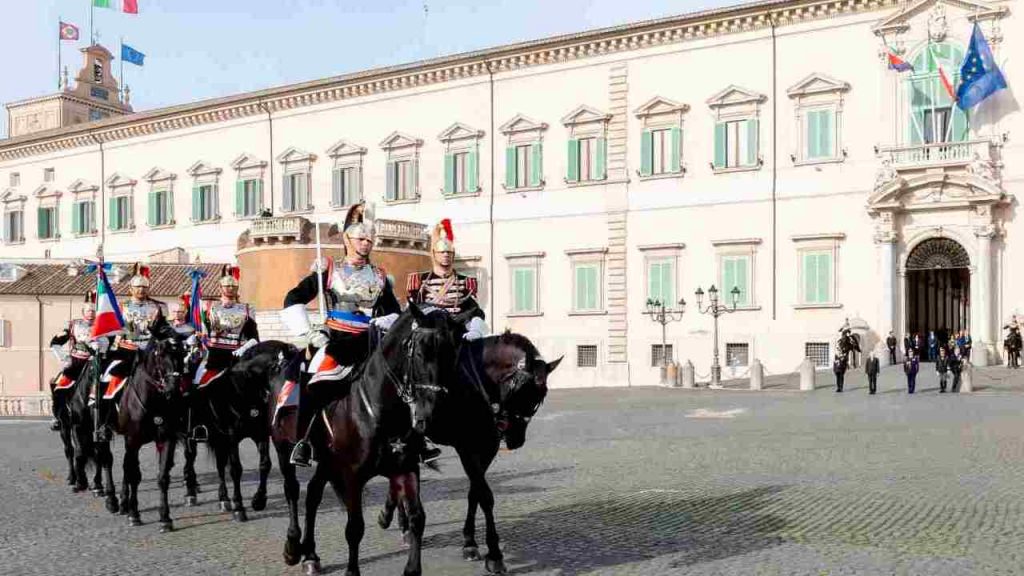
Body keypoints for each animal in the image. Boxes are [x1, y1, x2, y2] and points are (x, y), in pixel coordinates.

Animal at [116, 334, 190, 532]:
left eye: (182, 355)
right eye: (161, 356)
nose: (173, 389)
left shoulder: (167, 439)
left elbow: (163, 477)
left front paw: (165, 518)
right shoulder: (133, 440)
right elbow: (134, 475)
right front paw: (134, 514)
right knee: (126, 468)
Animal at [270, 303, 458, 569]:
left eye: (453, 352)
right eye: (421, 352)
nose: (432, 414)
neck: (380, 408)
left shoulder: (407, 467)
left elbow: (417, 517)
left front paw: (411, 566)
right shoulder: (352, 475)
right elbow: (354, 528)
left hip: (326, 461)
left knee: (313, 494)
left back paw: (311, 555)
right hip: (282, 448)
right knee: (293, 491)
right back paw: (293, 546)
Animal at [380, 330, 565, 569]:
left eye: (540, 397)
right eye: (517, 389)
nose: (515, 439)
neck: (475, 388)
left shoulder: (486, 448)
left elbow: (474, 493)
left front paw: (470, 541)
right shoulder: (466, 449)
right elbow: (484, 495)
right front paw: (494, 554)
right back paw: (402, 524)